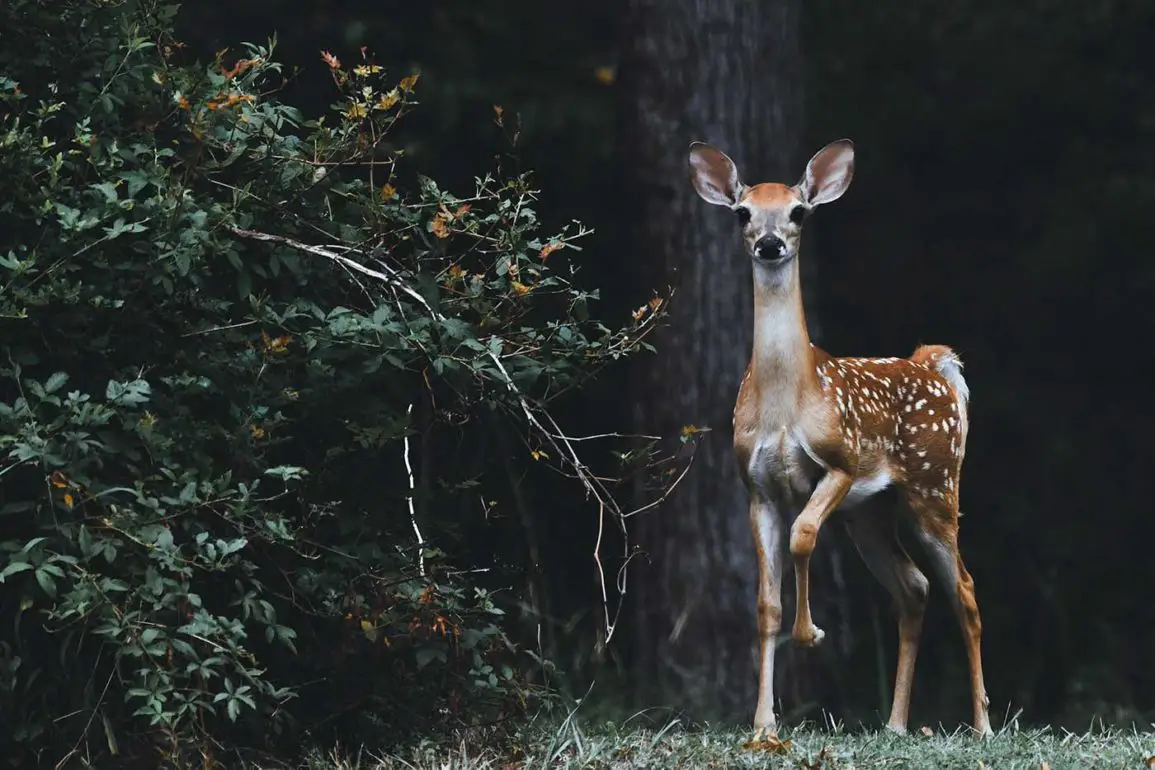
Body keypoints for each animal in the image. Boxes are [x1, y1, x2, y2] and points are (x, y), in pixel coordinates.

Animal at [683, 138, 993, 738]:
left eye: (799, 211)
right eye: (743, 213)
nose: (771, 243)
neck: (787, 403)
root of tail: (935, 366)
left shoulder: (841, 463)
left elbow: (803, 535)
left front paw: (812, 634)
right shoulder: (756, 487)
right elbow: (766, 604)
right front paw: (763, 724)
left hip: (935, 485)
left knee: (964, 590)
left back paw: (983, 725)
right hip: (870, 513)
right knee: (914, 587)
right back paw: (895, 724)